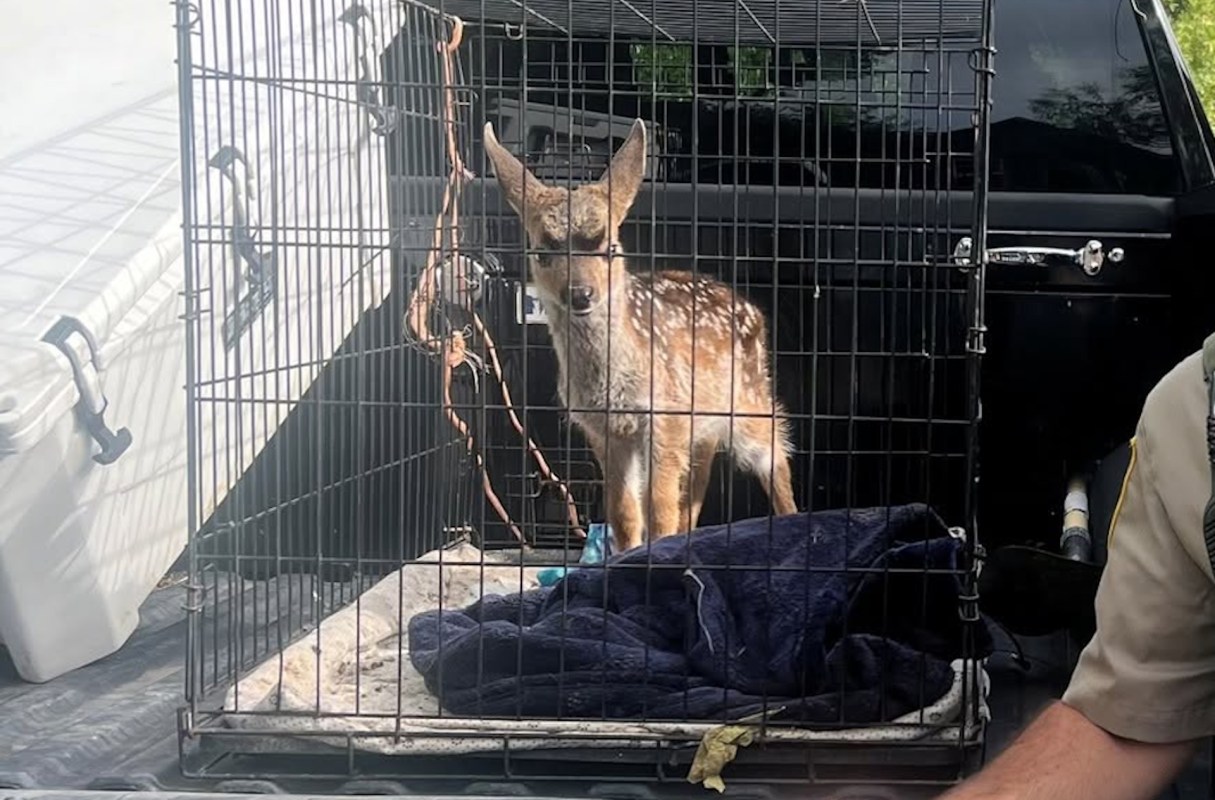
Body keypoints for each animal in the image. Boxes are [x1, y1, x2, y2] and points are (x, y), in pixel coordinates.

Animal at [481, 117, 798, 554]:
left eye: (610, 246)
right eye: (543, 251)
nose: (581, 293)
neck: (612, 385)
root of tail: (748, 307)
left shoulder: (662, 417)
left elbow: (659, 508)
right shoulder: (605, 430)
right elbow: (625, 512)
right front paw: (627, 555)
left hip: (748, 396)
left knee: (775, 451)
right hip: (702, 422)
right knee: (696, 488)